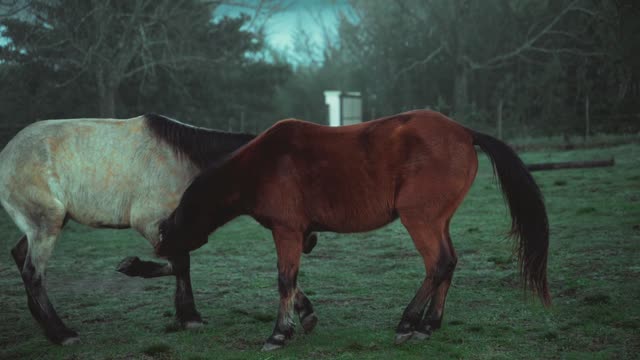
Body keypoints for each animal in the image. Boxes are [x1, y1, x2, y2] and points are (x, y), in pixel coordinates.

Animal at [156, 110, 552, 352]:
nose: (165, 256)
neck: (262, 164)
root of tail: (464, 132)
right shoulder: (296, 235)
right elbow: (293, 282)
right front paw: (304, 317)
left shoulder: (287, 232)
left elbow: (285, 280)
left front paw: (279, 333)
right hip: (439, 221)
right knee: (449, 263)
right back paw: (429, 324)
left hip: (420, 220)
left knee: (438, 264)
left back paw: (408, 322)